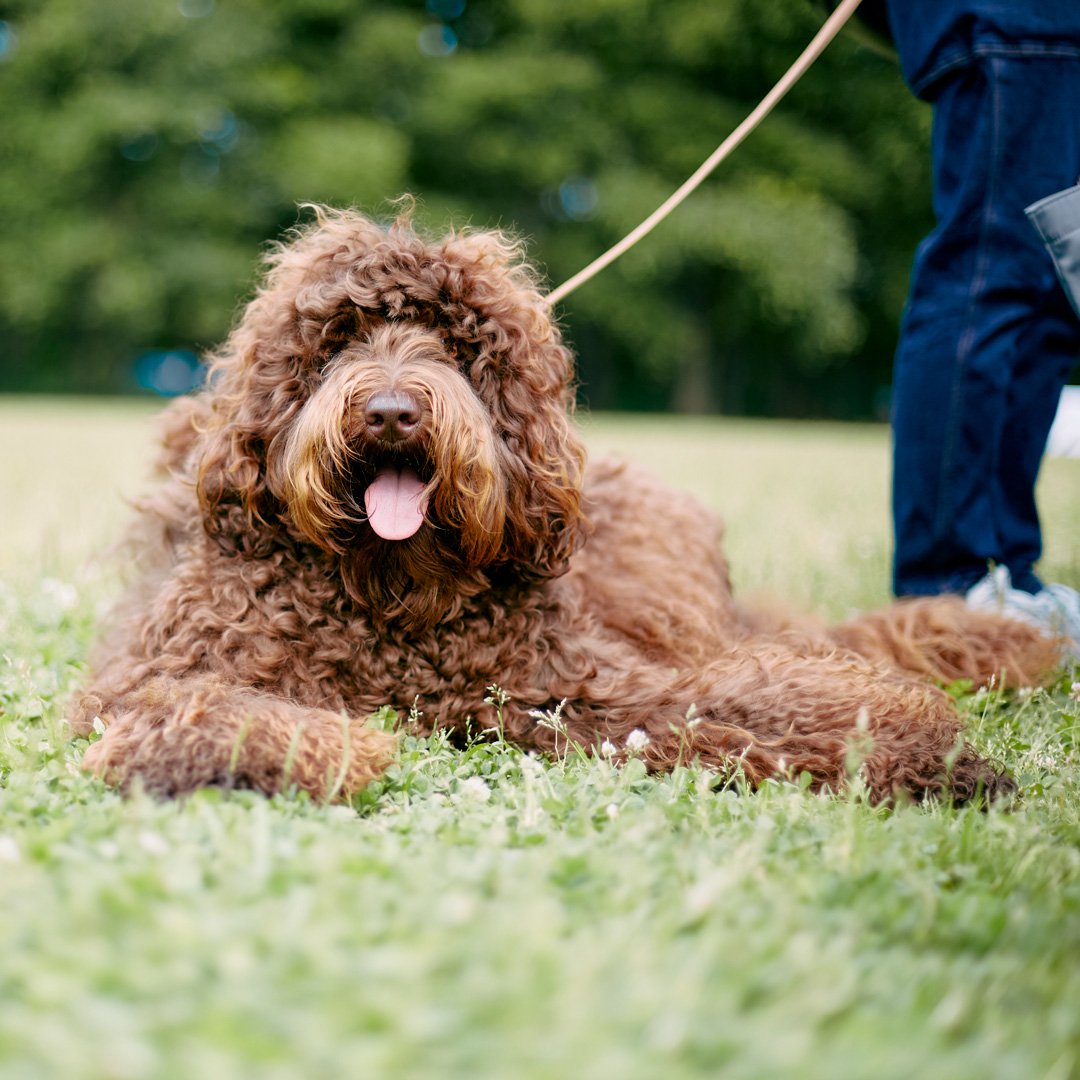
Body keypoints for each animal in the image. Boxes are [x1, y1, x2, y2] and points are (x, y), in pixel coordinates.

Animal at [73, 208, 1062, 803]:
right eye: (341, 337)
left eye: (453, 345)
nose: (391, 412)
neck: (387, 595)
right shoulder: (151, 676)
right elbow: (213, 714)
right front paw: (324, 748)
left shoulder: (580, 683)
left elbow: (748, 701)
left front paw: (912, 744)